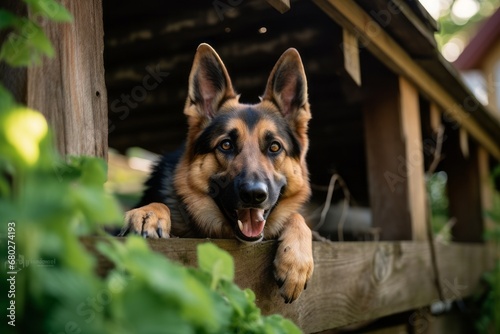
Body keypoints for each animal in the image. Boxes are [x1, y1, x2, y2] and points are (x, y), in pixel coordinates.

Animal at [120, 43, 312, 302]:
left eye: (274, 147)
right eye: (226, 145)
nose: (254, 195)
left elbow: (297, 216)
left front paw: (296, 262)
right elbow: (160, 205)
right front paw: (148, 212)